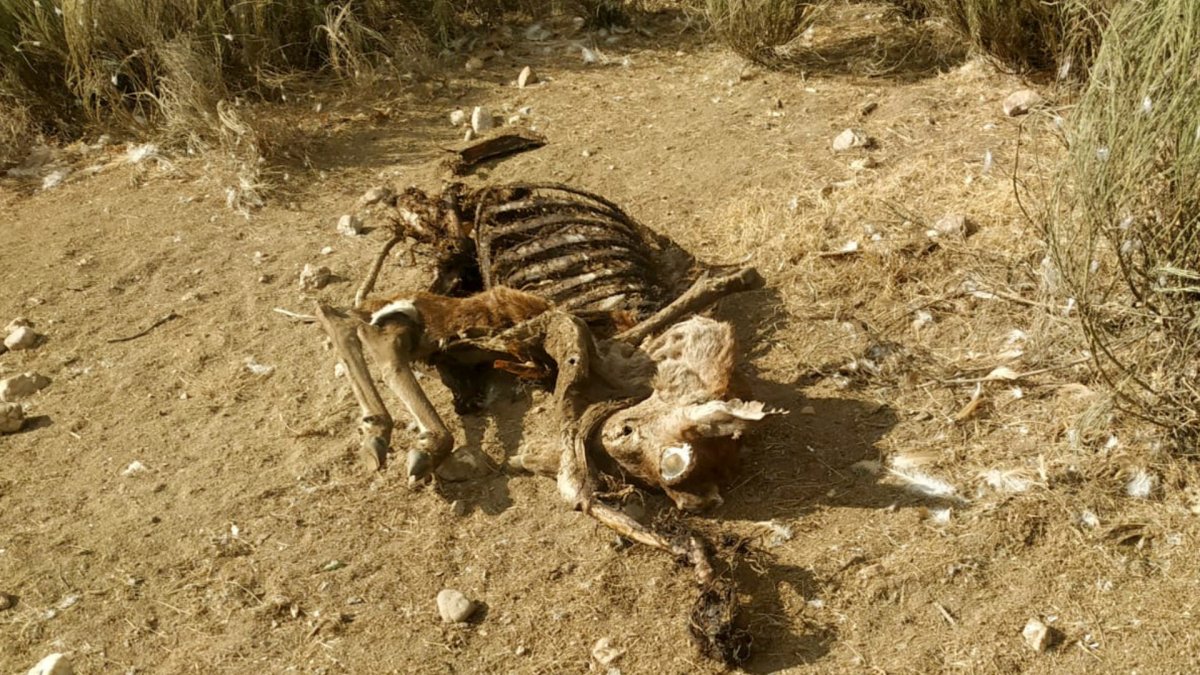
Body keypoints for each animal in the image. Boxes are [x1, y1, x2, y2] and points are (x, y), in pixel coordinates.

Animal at [314, 179, 777, 663]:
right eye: (657, 445)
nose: (618, 432)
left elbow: (577, 481)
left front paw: (709, 581)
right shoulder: (580, 340)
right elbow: (576, 485)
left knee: (377, 323)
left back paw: (396, 424)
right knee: (372, 322)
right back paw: (405, 430)